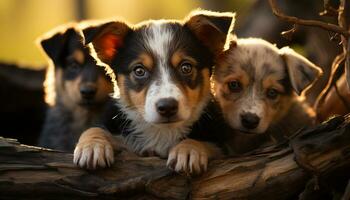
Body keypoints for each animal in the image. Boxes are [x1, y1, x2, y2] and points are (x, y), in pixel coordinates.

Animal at [72, 10, 234, 173]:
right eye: (139, 70)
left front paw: (189, 150)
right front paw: (91, 147)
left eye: (186, 67)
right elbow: (94, 129)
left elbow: (204, 143)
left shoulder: (222, 143)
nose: (167, 107)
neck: (162, 131)